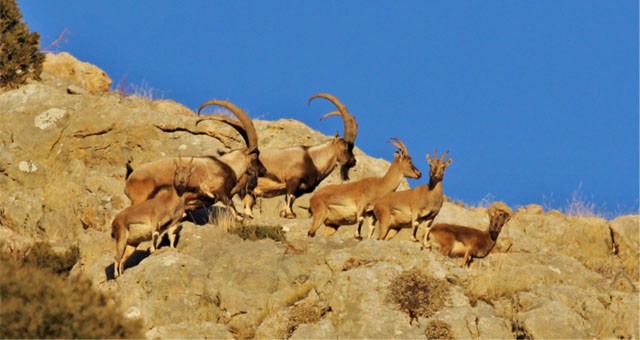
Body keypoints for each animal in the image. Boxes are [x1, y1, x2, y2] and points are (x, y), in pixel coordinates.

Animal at [125, 98, 264, 220]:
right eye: (256, 155)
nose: (263, 170)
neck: (228, 165)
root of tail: (129, 182)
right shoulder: (218, 191)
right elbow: (231, 206)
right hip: (141, 198)